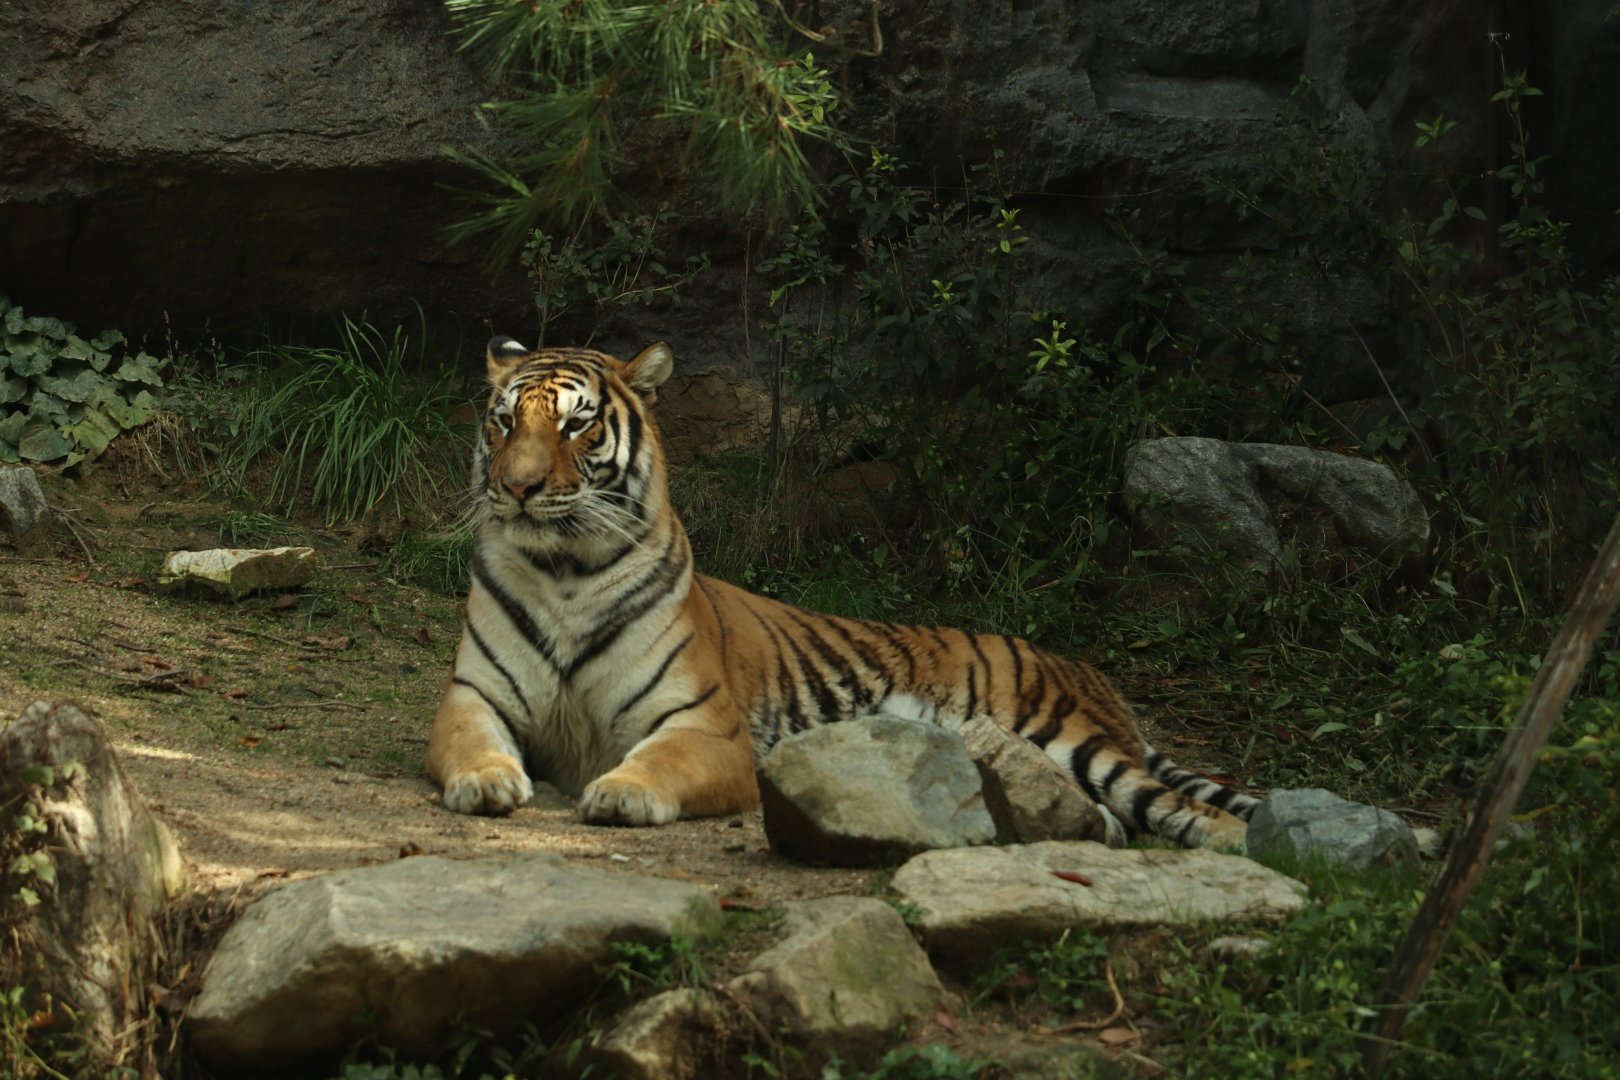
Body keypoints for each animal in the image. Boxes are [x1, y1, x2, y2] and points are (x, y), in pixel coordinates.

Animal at [427, 336, 1261, 849]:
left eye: (578, 426)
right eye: (503, 422)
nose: (517, 488)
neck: (565, 574)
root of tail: (1085, 669)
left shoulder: (704, 727)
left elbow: (657, 763)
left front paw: (620, 794)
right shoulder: (473, 696)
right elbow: (472, 741)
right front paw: (487, 781)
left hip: (1071, 736)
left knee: (1175, 804)